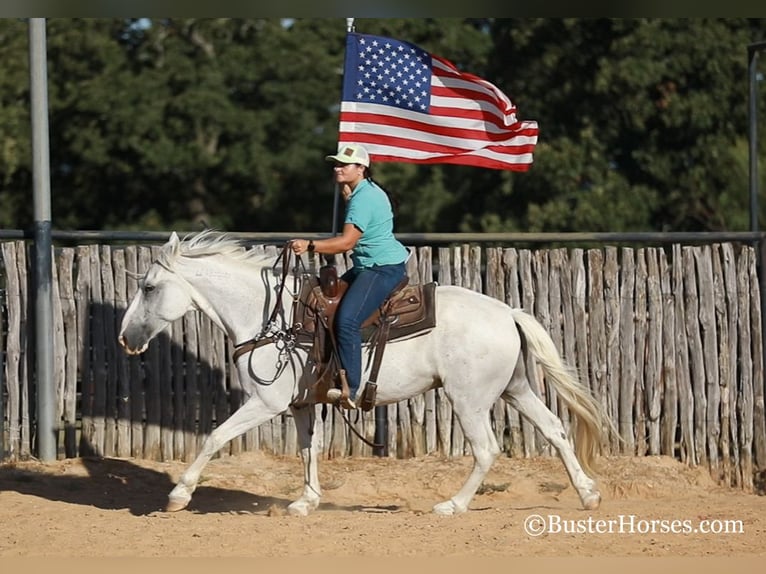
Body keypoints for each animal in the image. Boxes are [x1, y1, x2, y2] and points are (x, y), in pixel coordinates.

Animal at [118, 230, 612, 516]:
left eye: (150, 287)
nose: (125, 337)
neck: (271, 316)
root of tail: (508, 312)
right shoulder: (301, 404)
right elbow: (308, 449)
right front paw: (306, 501)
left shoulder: (265, 402)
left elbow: (215, 436)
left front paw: (179, 495)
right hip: (515, 389)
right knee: (555, 429)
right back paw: (588, 494)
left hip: (469, 400)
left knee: (487, 449)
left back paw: (452, 505)